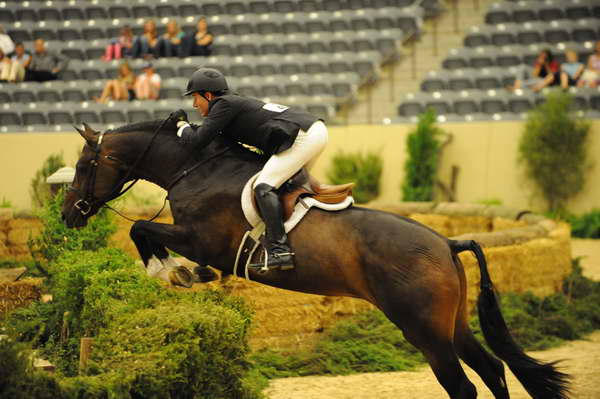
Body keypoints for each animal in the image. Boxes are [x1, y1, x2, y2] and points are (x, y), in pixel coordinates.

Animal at [63, 120, 568, 398]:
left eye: (86, 166)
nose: (68, 215)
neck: (195, 167)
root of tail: (447, 243)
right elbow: (146, 233)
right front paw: (185, 274)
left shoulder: (201, 239)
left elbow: (140, 230)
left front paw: (172, 273)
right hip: (452, 323)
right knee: (493, 369)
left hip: (423, 329)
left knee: (463, 385)